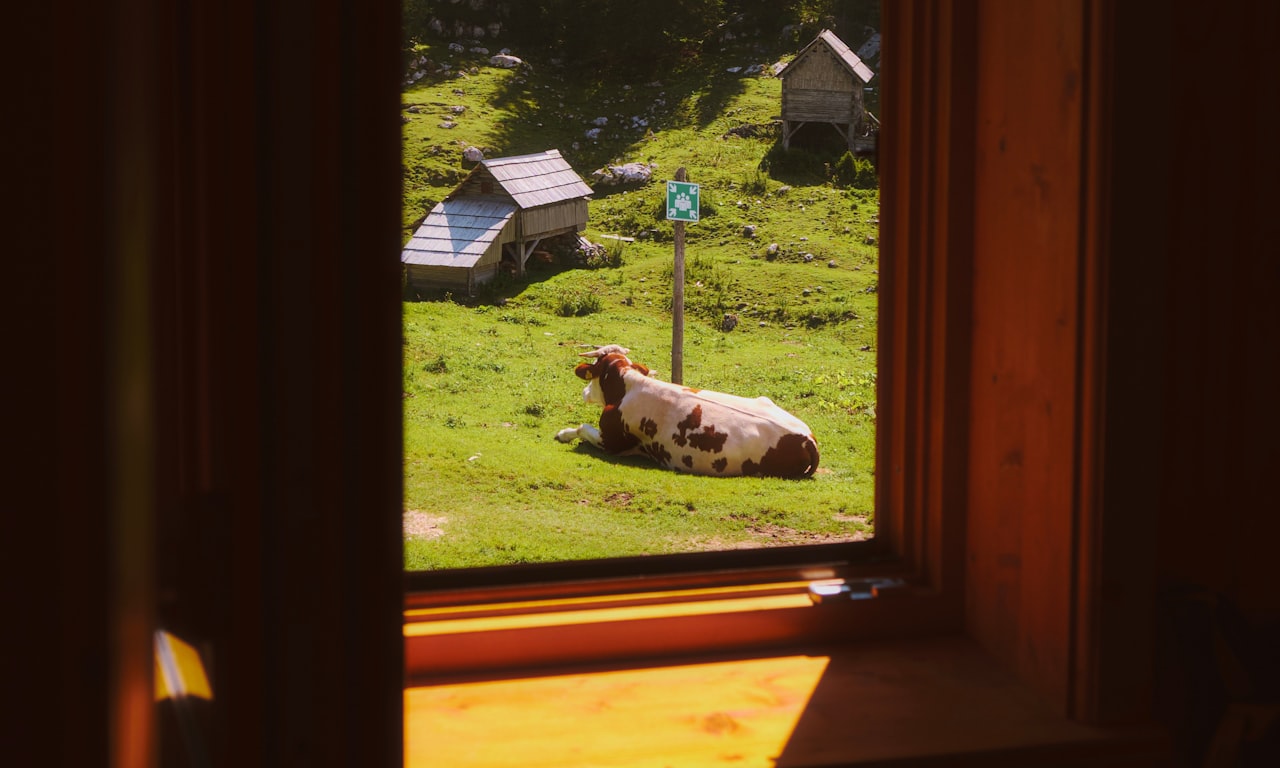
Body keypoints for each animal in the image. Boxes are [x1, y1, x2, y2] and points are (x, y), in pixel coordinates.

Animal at [552, 348, 819, 481]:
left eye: (594, 375)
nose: (585, 392)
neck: (629, 386)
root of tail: (807, 438)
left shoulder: (611, 441)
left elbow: (582, 428)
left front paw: (563, 434)